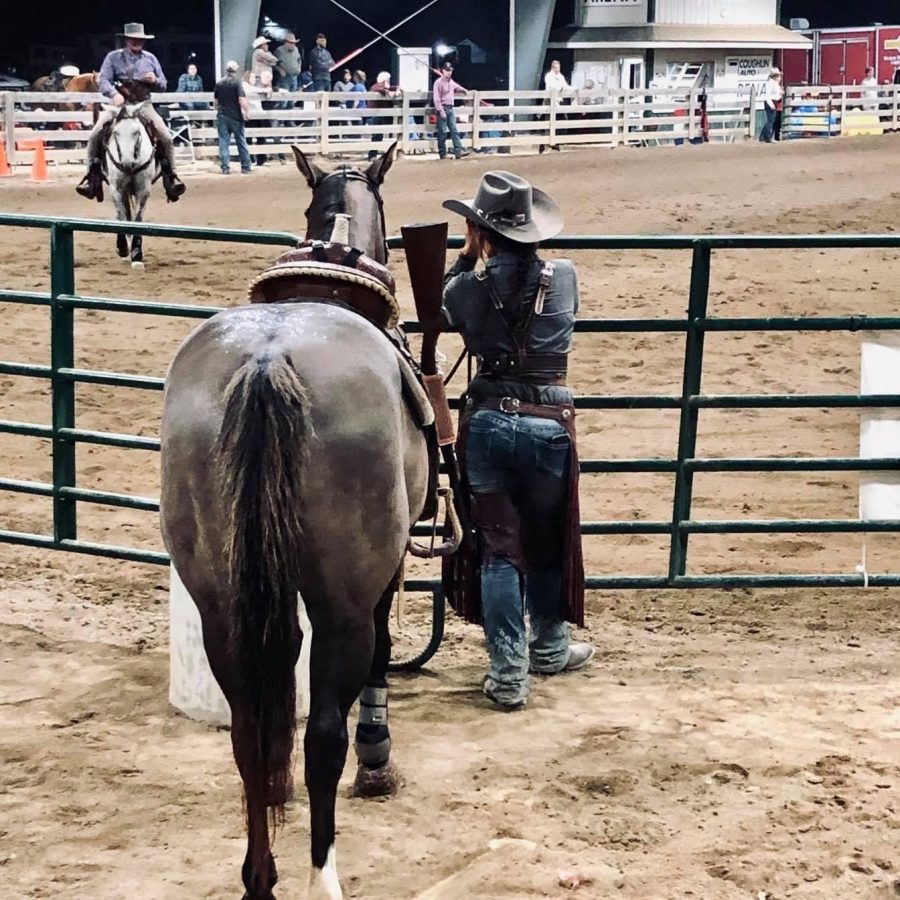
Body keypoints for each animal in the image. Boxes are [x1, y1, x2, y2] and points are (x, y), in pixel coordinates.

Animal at [160, 140, 427, 899]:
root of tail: (266, 360)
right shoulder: (382, 576)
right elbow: (382, 658)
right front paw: (378, 761)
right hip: (340, 603)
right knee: (322, 737)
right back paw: (321, 874)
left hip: (219, 600)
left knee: (250, 735)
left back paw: (260, 876)